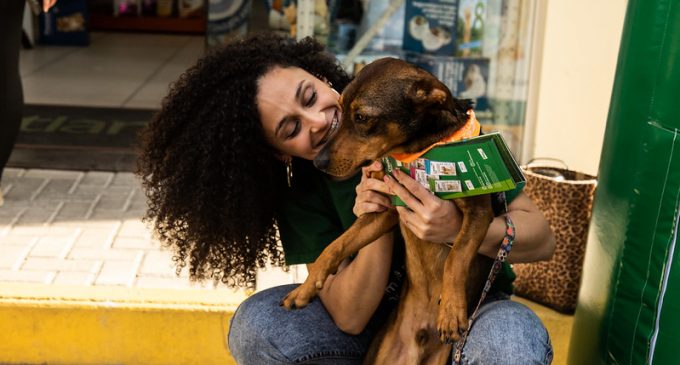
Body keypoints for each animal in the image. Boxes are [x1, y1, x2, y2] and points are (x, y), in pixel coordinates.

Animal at [278, 58, 496, 362]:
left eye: (362, 117)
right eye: (340, 110)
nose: (318, 163)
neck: (418, 151)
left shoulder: (479, 211)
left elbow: (457, 257)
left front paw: (451, 311)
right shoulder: (386, 212)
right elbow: (334, 246)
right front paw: (306, 288)